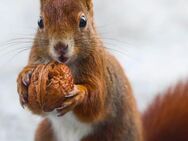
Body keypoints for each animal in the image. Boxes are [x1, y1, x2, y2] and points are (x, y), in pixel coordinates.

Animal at [16, 0, 188, 141]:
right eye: (40, 22)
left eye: (83, 21)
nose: (60, 47)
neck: (67, 65)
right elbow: (39, 109)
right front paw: (24, 79)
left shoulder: (99, 72)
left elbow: (96, 104)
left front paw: (79, 94)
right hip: (44, 133)